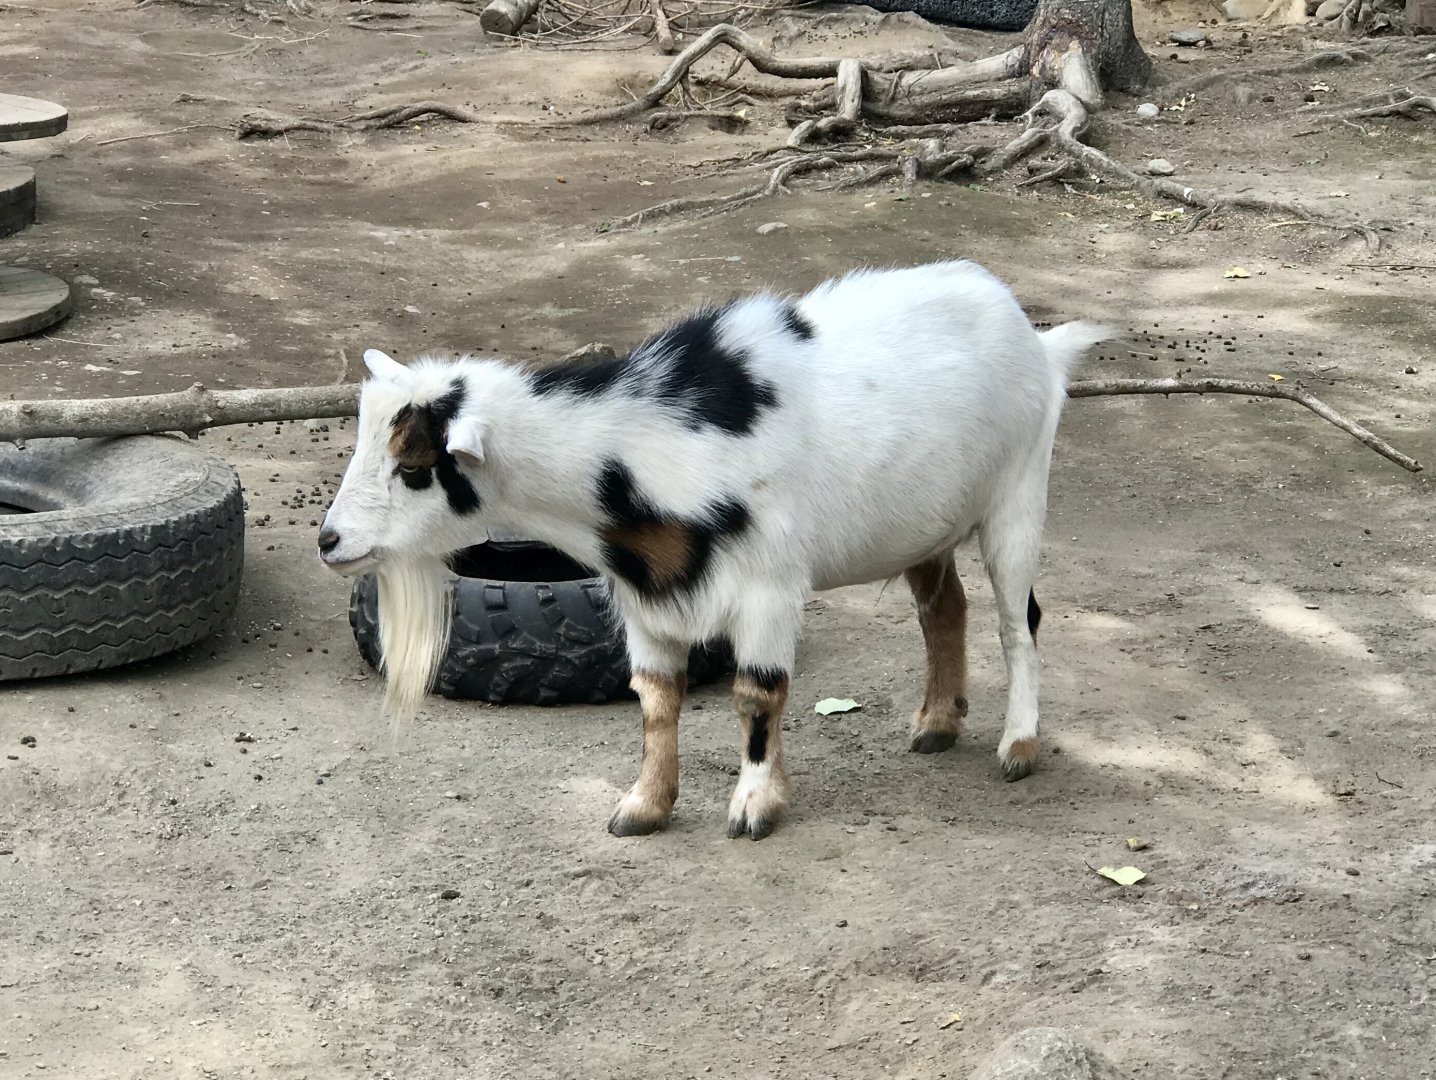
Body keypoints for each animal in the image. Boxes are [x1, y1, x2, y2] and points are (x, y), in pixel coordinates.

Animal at [318, 260, 1108, 840]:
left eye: (414, 468)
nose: (330, 541)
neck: (646, 444)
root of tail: (1039, 341)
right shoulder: (645, 594)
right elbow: (655, 700)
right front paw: (643, 806)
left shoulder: (769, 586)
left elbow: (757, 694)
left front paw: (755, 805)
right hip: (925, 524)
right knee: (945, 608)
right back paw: (938, 724)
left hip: (1018, 494)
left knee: (1019, 621)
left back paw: (1018, 747)